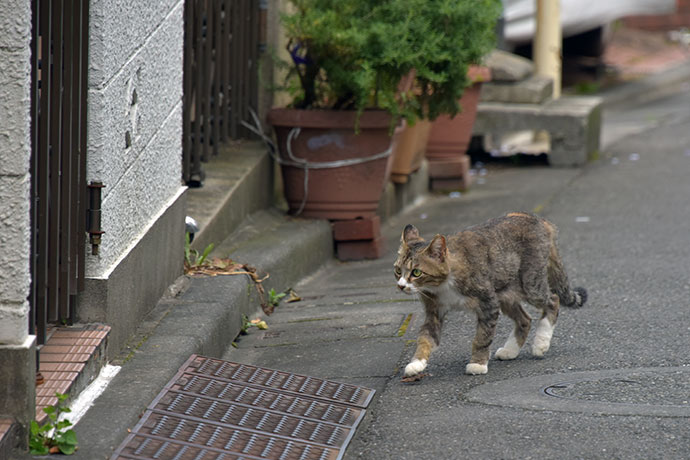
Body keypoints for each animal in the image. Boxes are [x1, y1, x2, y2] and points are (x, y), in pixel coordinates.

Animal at [396, 212, 584, 378]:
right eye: (398, 270)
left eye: (416, 272)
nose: (401, 285)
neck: (443, 286)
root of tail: (538, 219)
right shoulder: (434, 311)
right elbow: (425, 338)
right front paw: (416, 363)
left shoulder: (488, 303)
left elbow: (483, 336)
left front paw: (477, 364)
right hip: (505, 292)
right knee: (525, 319)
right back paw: (510, 350)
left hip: (530, 284)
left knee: (553, 300)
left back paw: (541, 343)